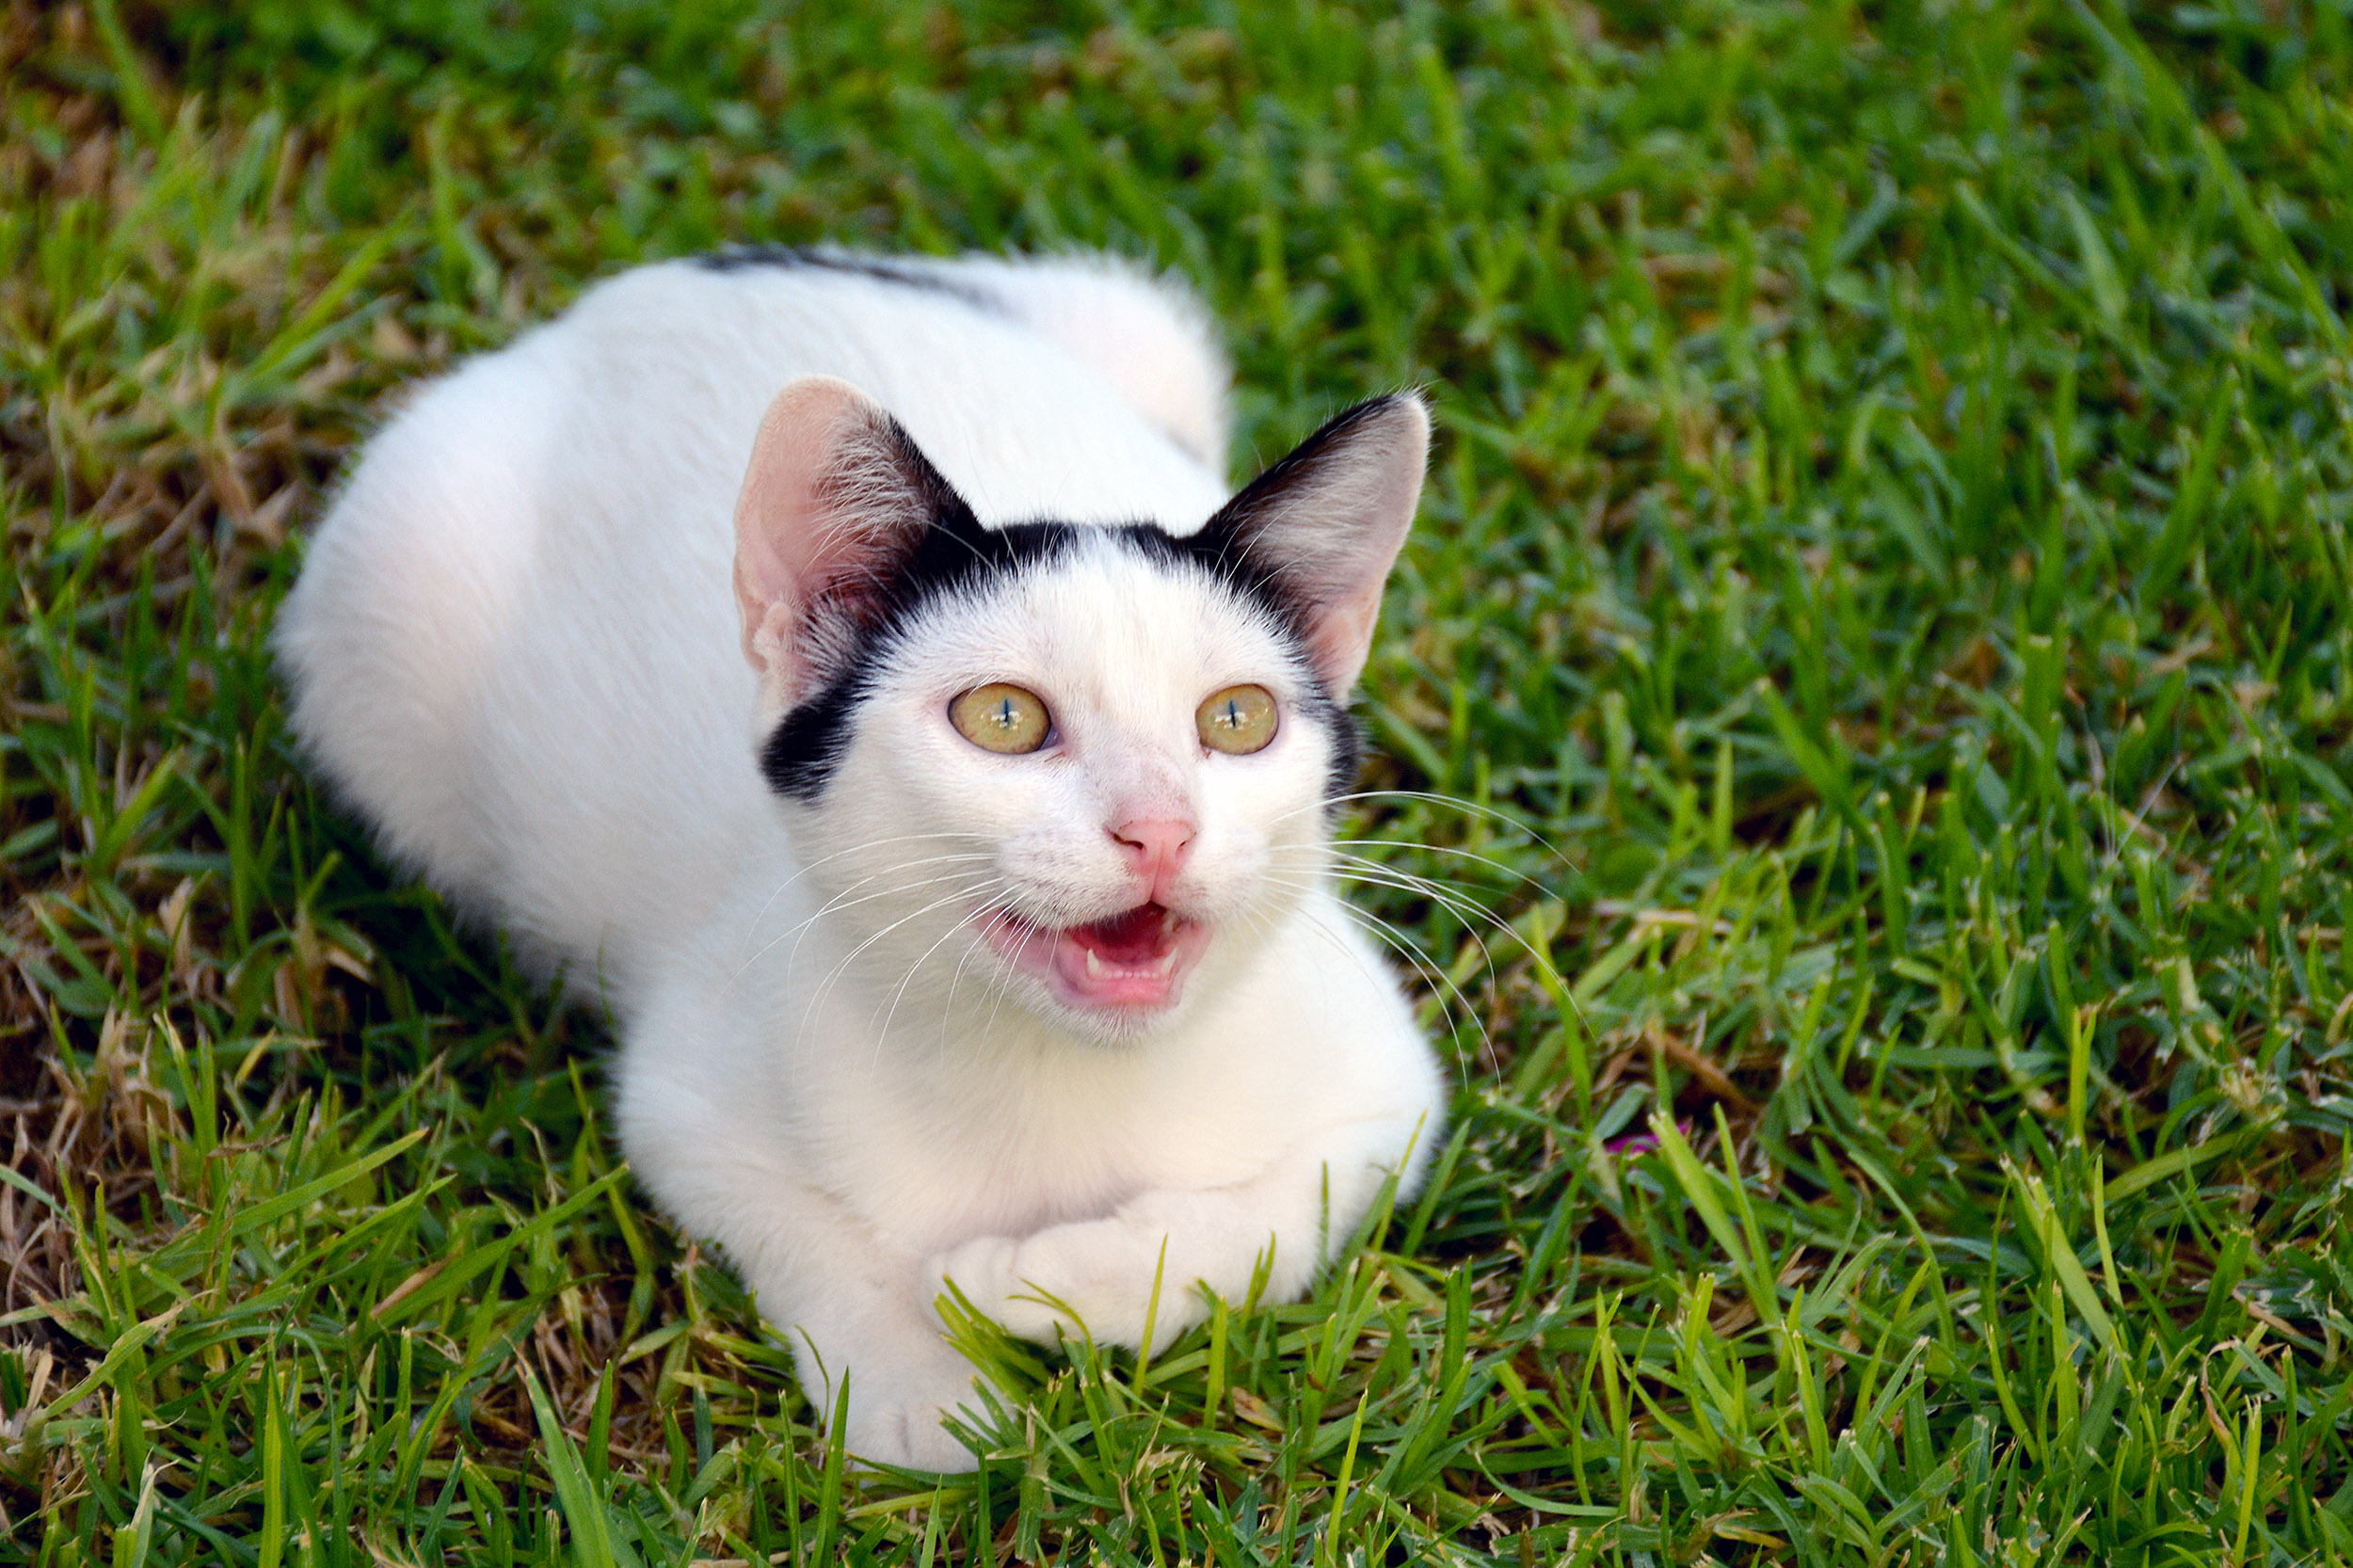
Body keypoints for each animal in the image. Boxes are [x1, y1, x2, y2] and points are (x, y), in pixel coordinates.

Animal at [278, 247, 1449, 1468]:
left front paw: (1051, 1283)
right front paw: (930, 1399)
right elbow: (809, 1232)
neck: (1055, 1075)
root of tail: (641, 291)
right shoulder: (688, 1096)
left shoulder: (1388, 1088)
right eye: (1003, 718)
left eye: (1236, 718)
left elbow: (1285, 1207)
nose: (1160, 827)